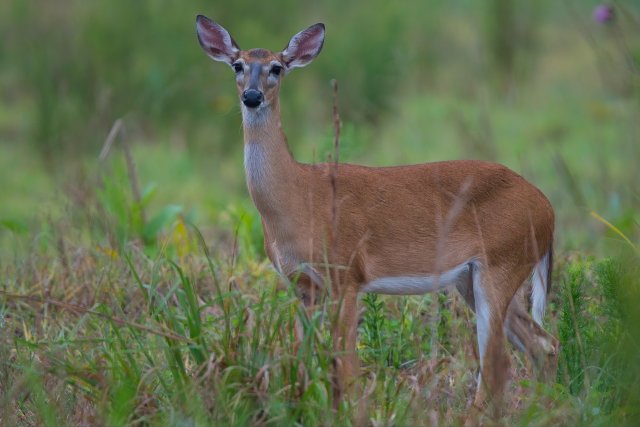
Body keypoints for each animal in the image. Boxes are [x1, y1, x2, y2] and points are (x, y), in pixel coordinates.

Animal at [195, 15, 559, 419]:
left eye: (276, 67)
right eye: (237, 65)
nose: (252, 96)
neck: (297, 198)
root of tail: (547, 208)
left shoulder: (347, 275)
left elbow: (347, 369)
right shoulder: (301, 284)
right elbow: (305, 364)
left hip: (500, 264)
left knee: (499, 363)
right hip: (475, 277)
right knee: (542, 345)